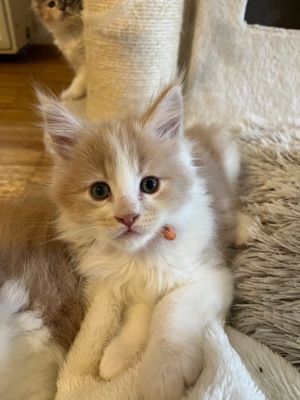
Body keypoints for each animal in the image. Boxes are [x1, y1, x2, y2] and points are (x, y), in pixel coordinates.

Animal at [0, 84, 243, 400]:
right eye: (99, 191)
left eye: (150, 185)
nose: (128, 216)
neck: (139, 257)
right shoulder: (120, 283)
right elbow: (140, 314)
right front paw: (119, 354)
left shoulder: (209, 275)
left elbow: (170, 305)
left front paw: (162, 374)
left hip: (230, 158)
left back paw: (246, 228)